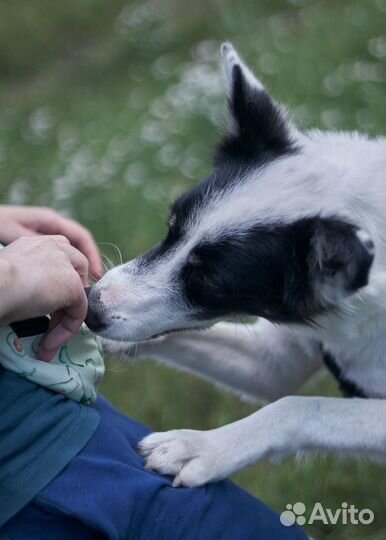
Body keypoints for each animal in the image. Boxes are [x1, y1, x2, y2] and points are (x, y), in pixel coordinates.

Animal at [86, 44, 386, 488]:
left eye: (209, 280)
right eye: (172, 228)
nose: (91, 307)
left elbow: (299, 407)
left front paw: (202, 447)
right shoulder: (275, 364)